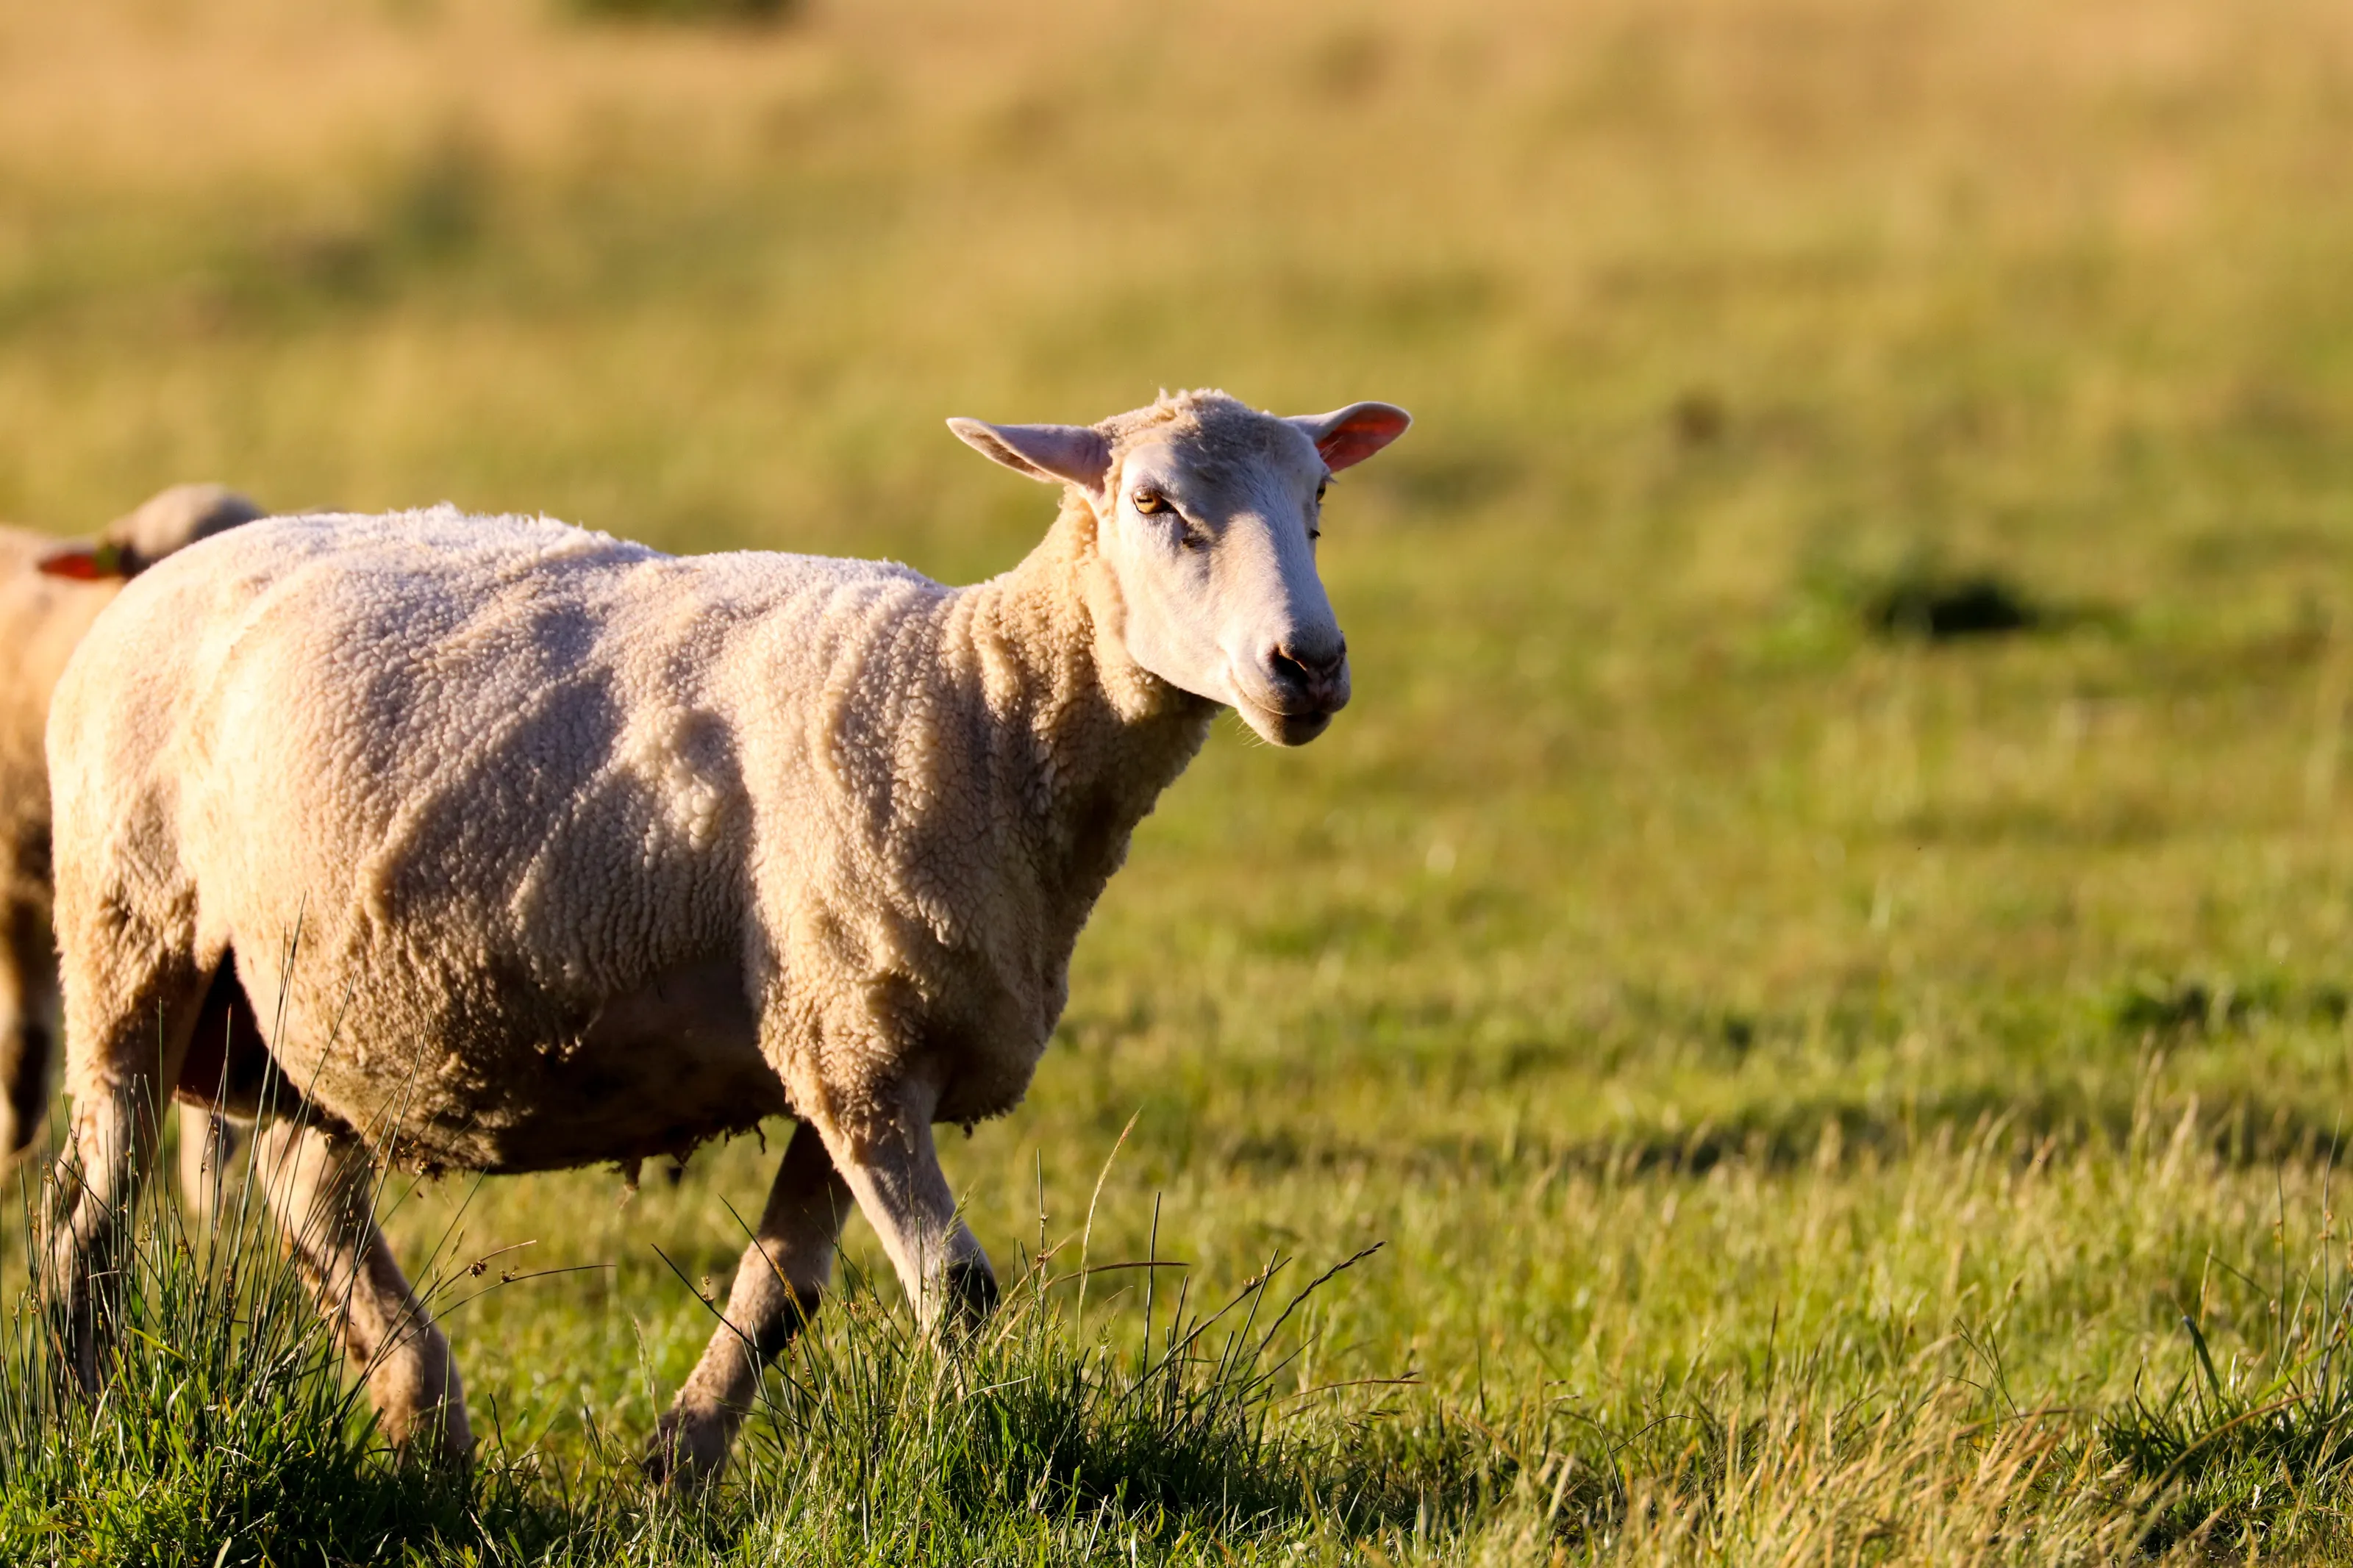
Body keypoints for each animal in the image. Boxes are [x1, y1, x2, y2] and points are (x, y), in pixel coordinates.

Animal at [43, 389, 1411, 1479]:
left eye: (1318, 500)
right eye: (1153, 502)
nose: (1309, 662)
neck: (978, 708)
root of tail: (158, 582)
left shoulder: (844, 1039)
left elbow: (783, 1288)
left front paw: (676, 1467)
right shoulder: (858, 1042)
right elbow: (956, 1290)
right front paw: (984, 1451)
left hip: (333, 1016)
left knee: (308, 1197)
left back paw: (424, 1427)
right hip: (127, 932)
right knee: (88, 1216)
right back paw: (85, 1421)